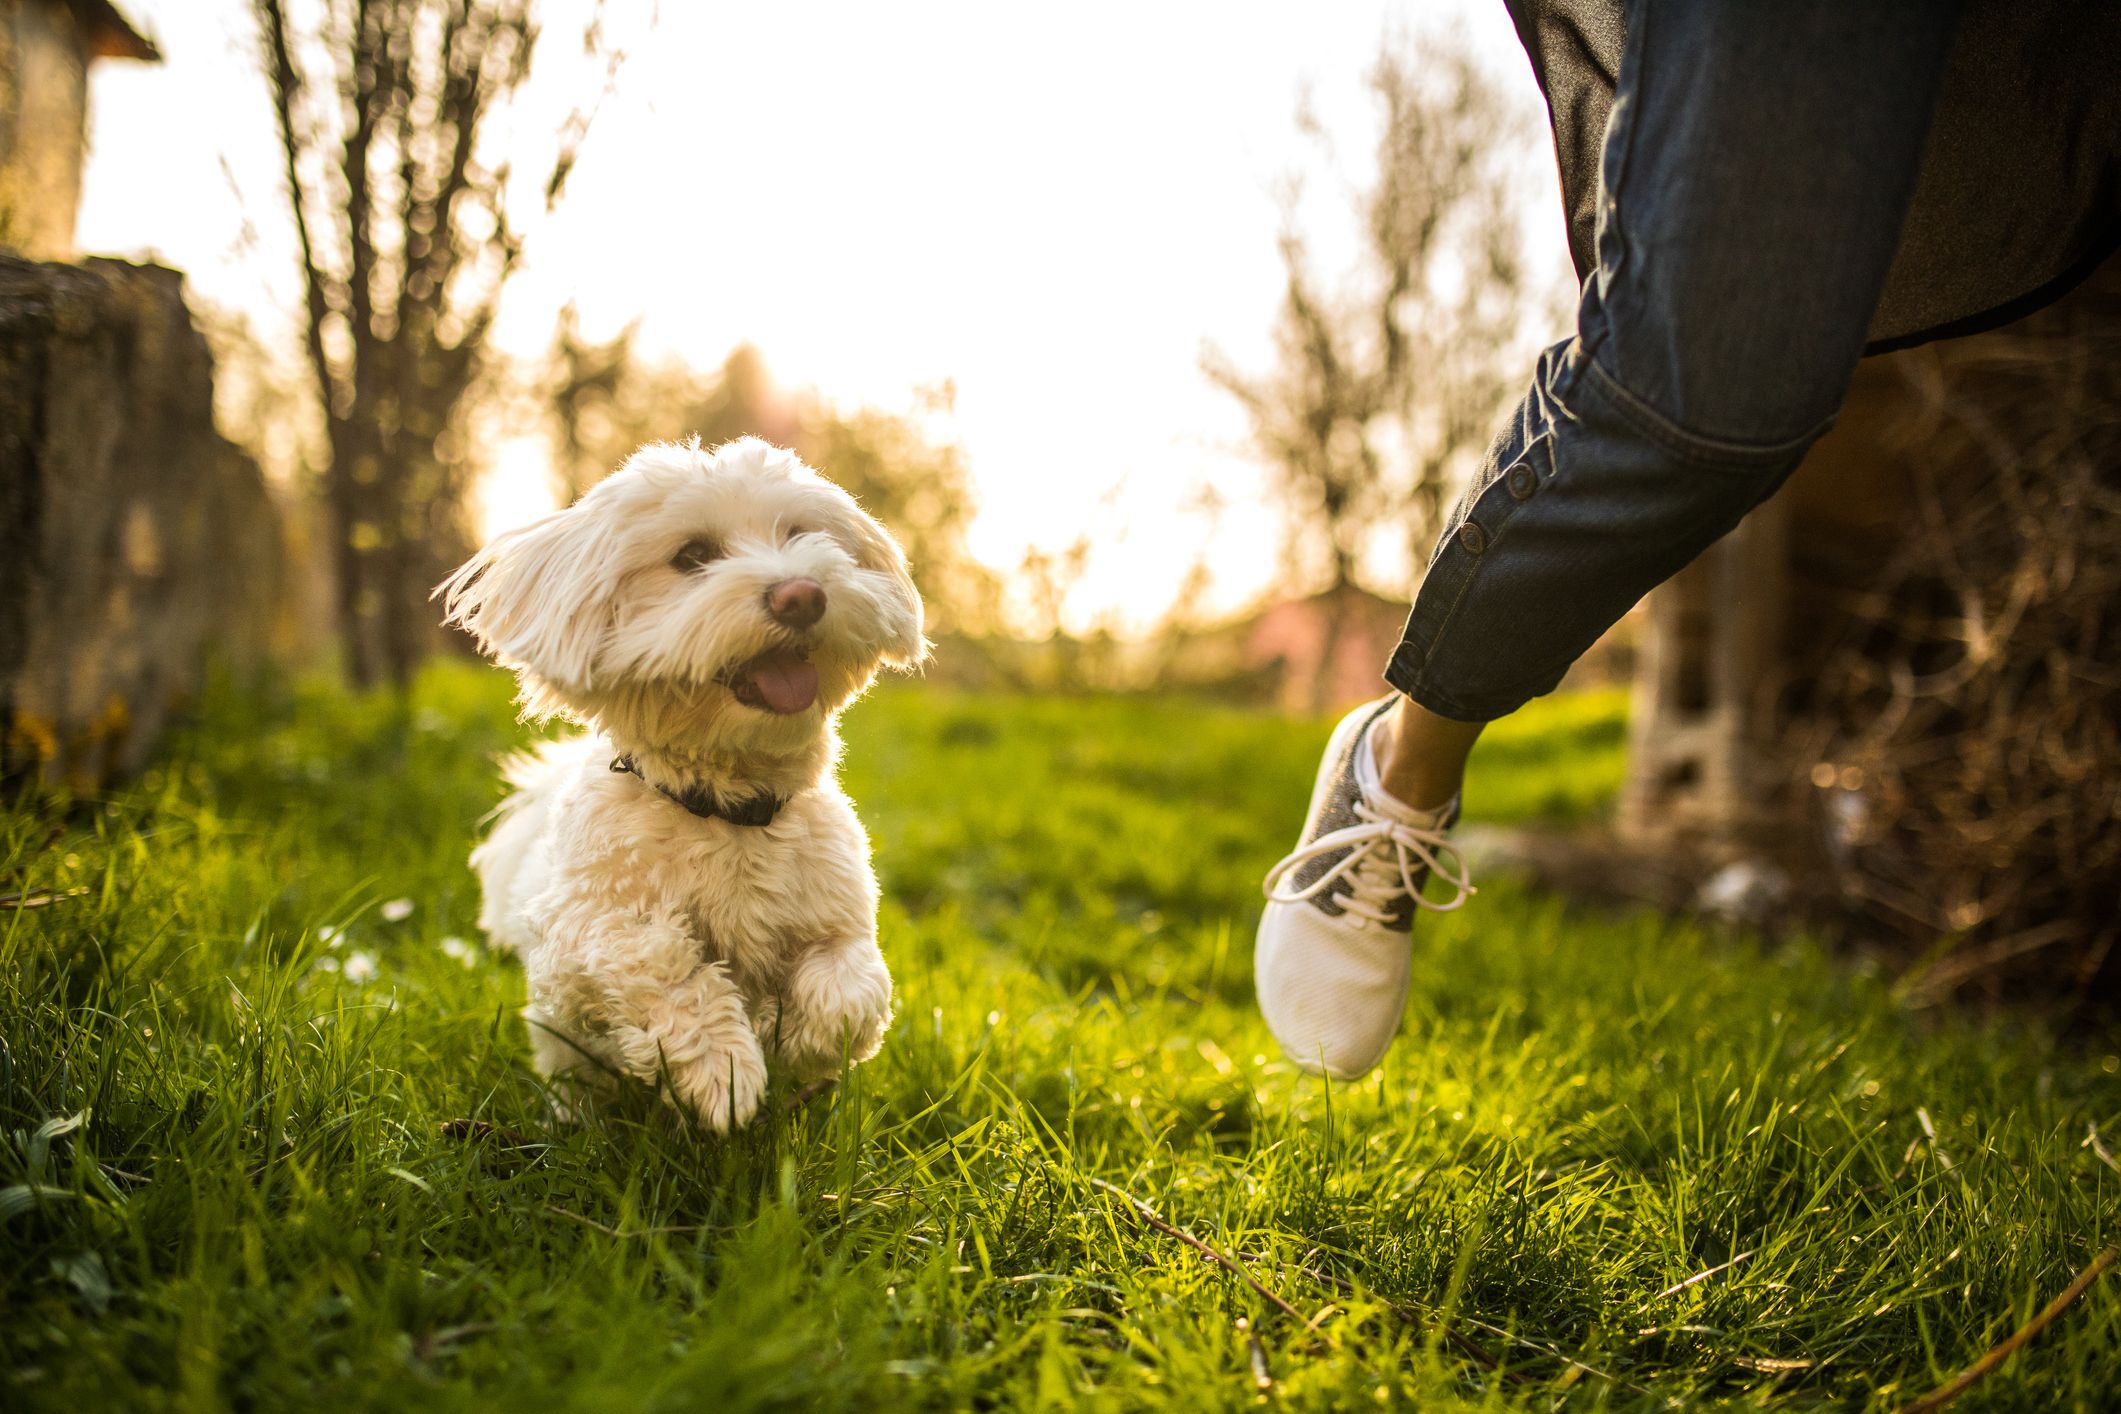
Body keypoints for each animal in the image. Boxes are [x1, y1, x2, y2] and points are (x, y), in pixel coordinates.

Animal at [434, 436, 924, 1136]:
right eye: (692, 556)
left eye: (800, 535)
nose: (802, 595)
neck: (727, 808)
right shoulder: (577, 934)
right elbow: (660, 960)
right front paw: (722, 1069)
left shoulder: (840, 919)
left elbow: (850, 990)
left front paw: (788, 1033)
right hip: (565, 1044)